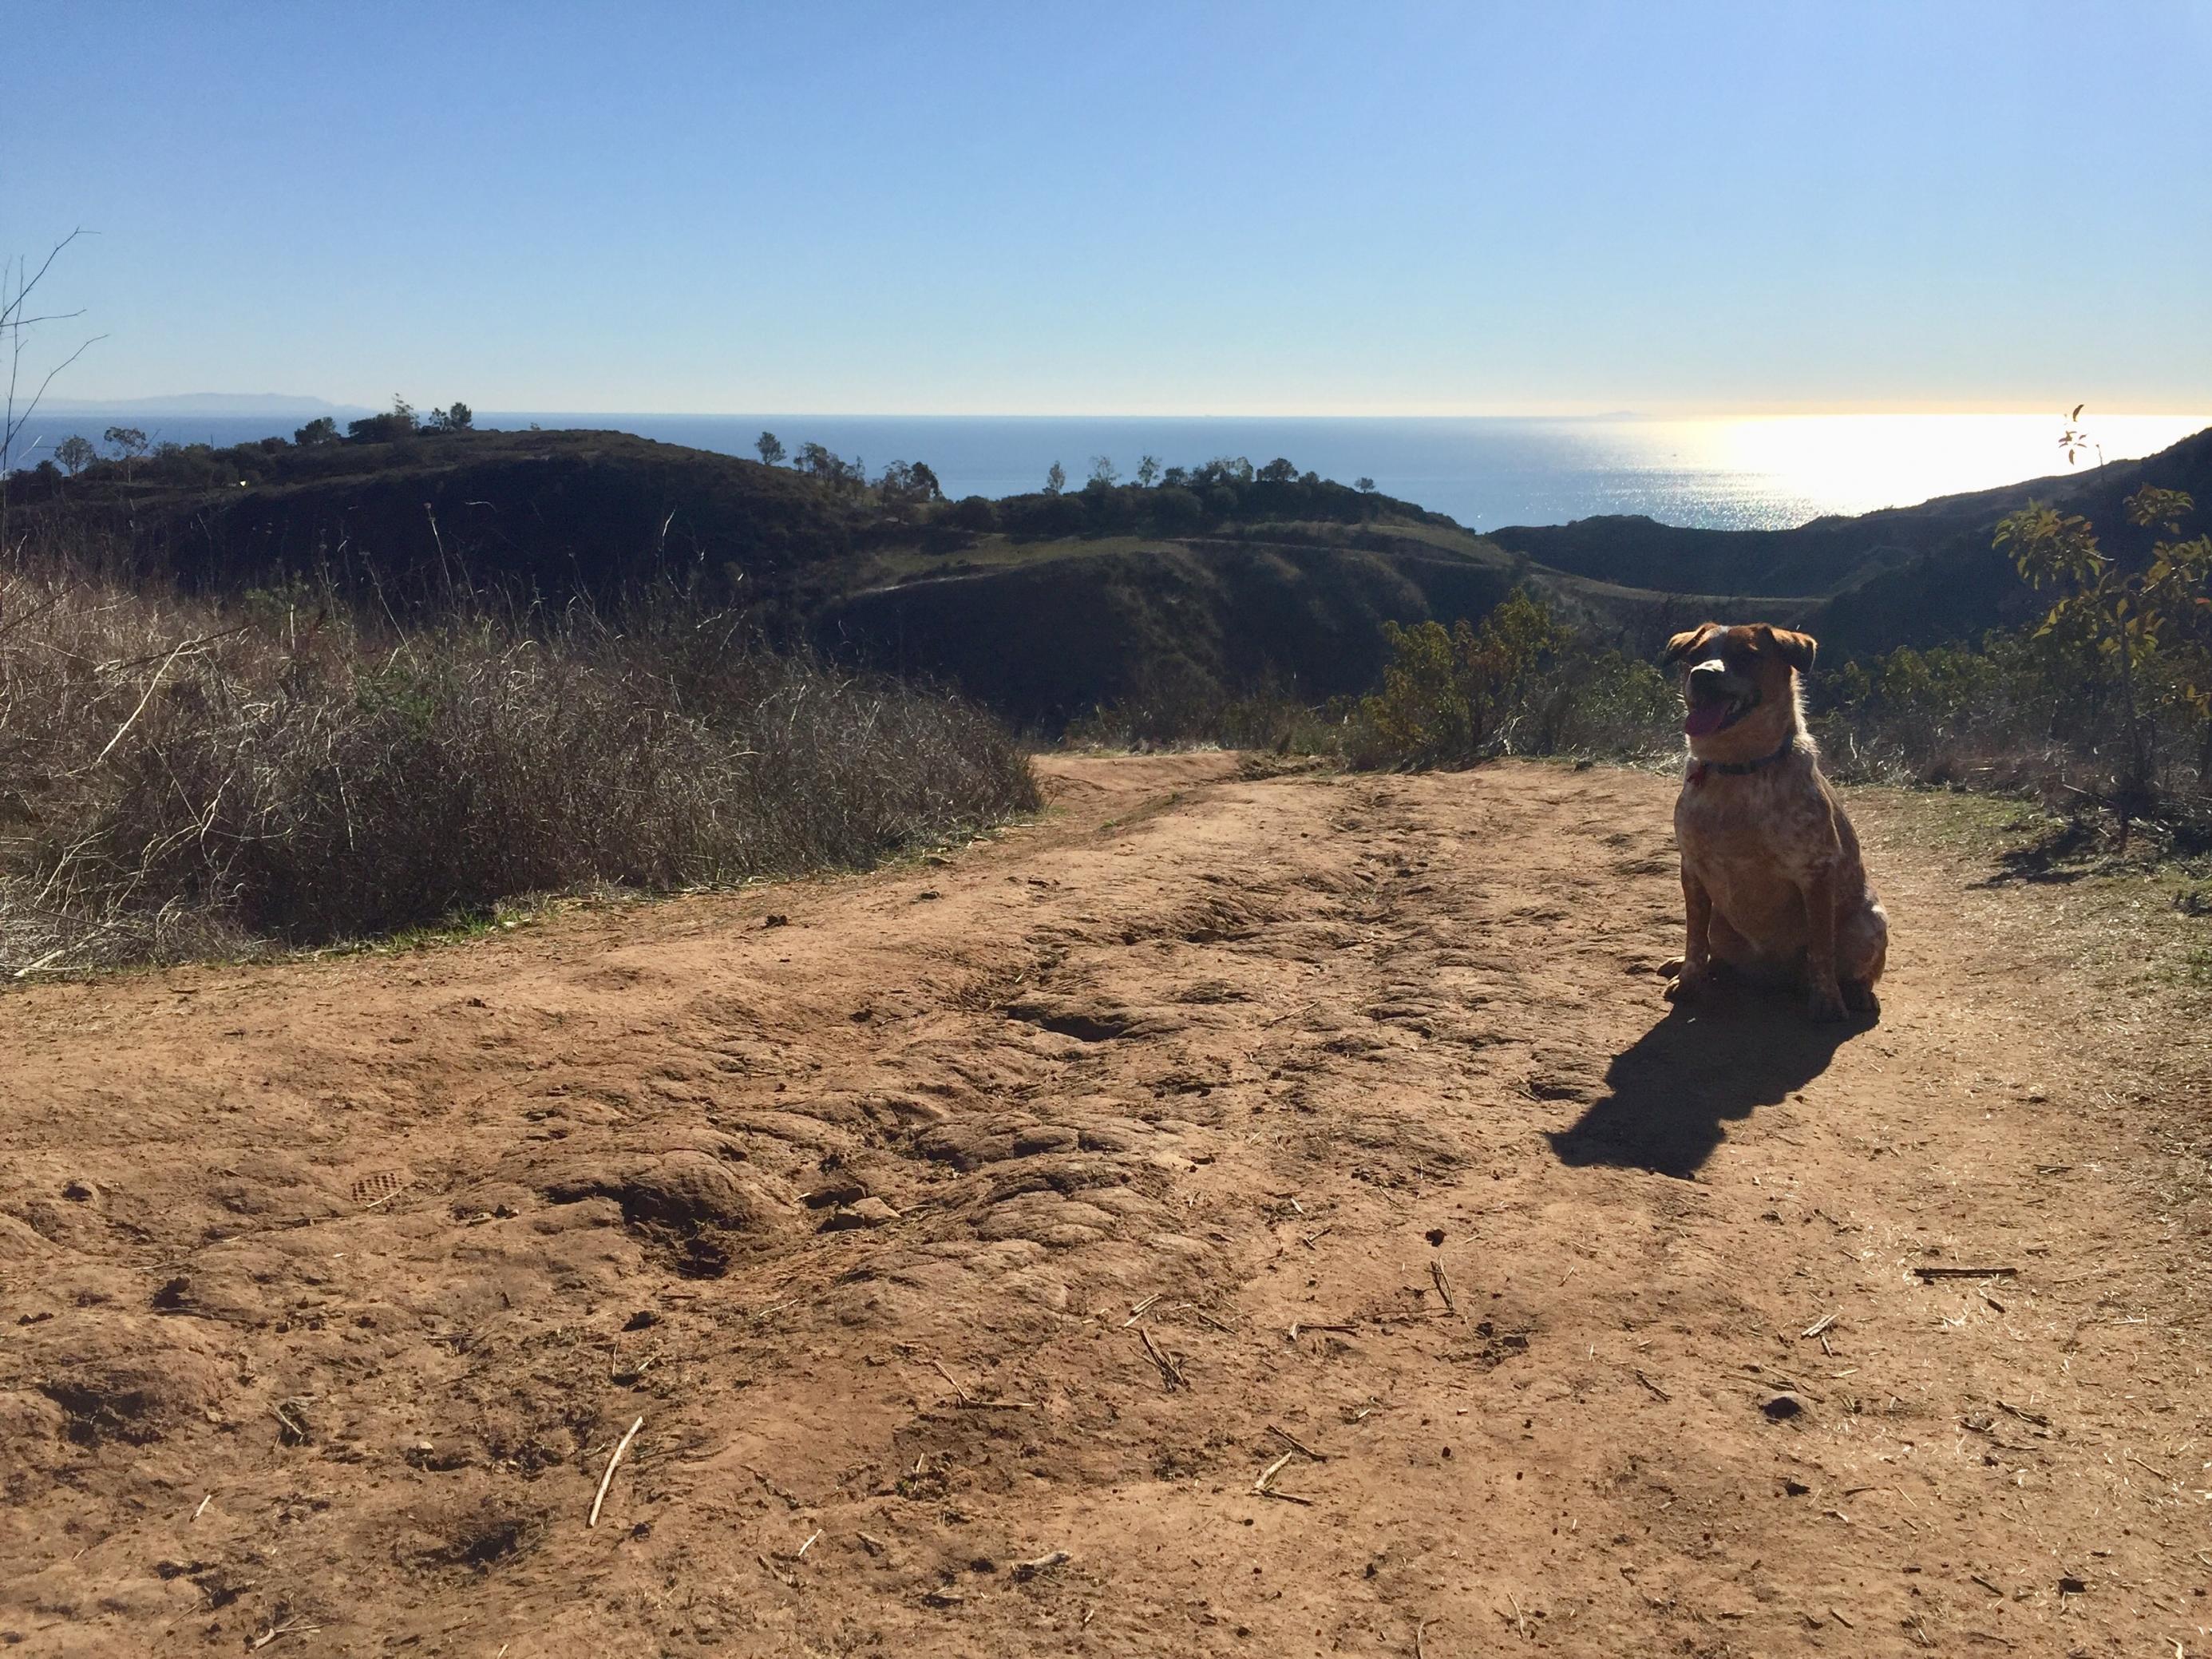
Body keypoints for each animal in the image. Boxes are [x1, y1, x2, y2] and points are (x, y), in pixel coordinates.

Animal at [1663, 624, 1884, 1022]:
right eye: (1695, 656)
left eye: (1747, 655)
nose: (1702, 675)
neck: (1738, 769)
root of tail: (1770, 975)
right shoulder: (1692, 868)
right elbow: (1694, 937)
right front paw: (1688, 979)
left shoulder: (1816, 871)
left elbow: (1821, 949)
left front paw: (1827, 1003)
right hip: (1721, 921)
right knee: (1713, 950)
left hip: (1871, 923)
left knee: (1856, 971)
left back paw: (1859, 994)